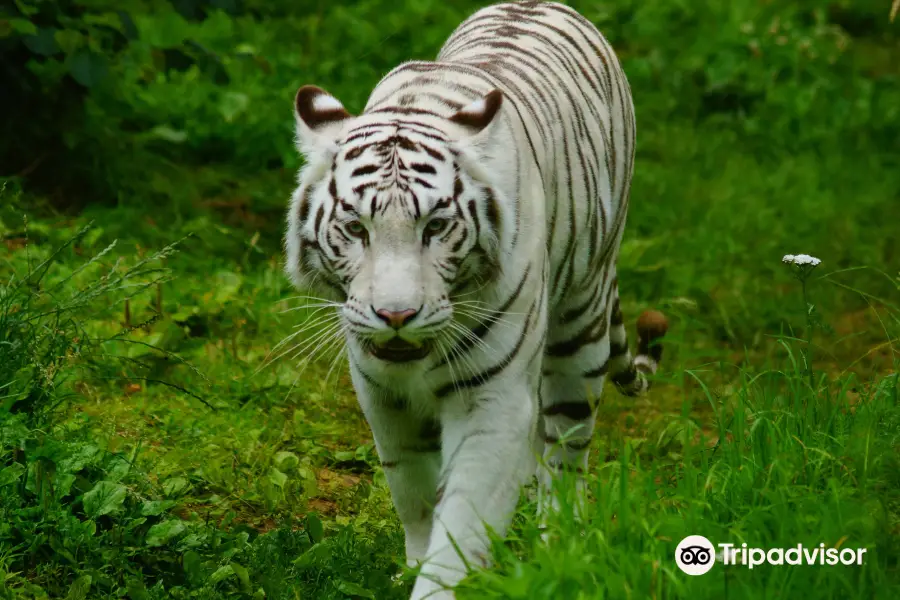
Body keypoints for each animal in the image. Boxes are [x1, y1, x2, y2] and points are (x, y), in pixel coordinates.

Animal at [284, 2, 668, 596]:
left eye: (436, 227)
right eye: (355, 228)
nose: (396, 315)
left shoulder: (493, 399)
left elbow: (463, 521)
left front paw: (443, 581)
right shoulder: (382, 395)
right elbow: (415, 495)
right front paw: (414, 563)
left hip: (581, 323)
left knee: (565, 451)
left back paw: (556, 546)